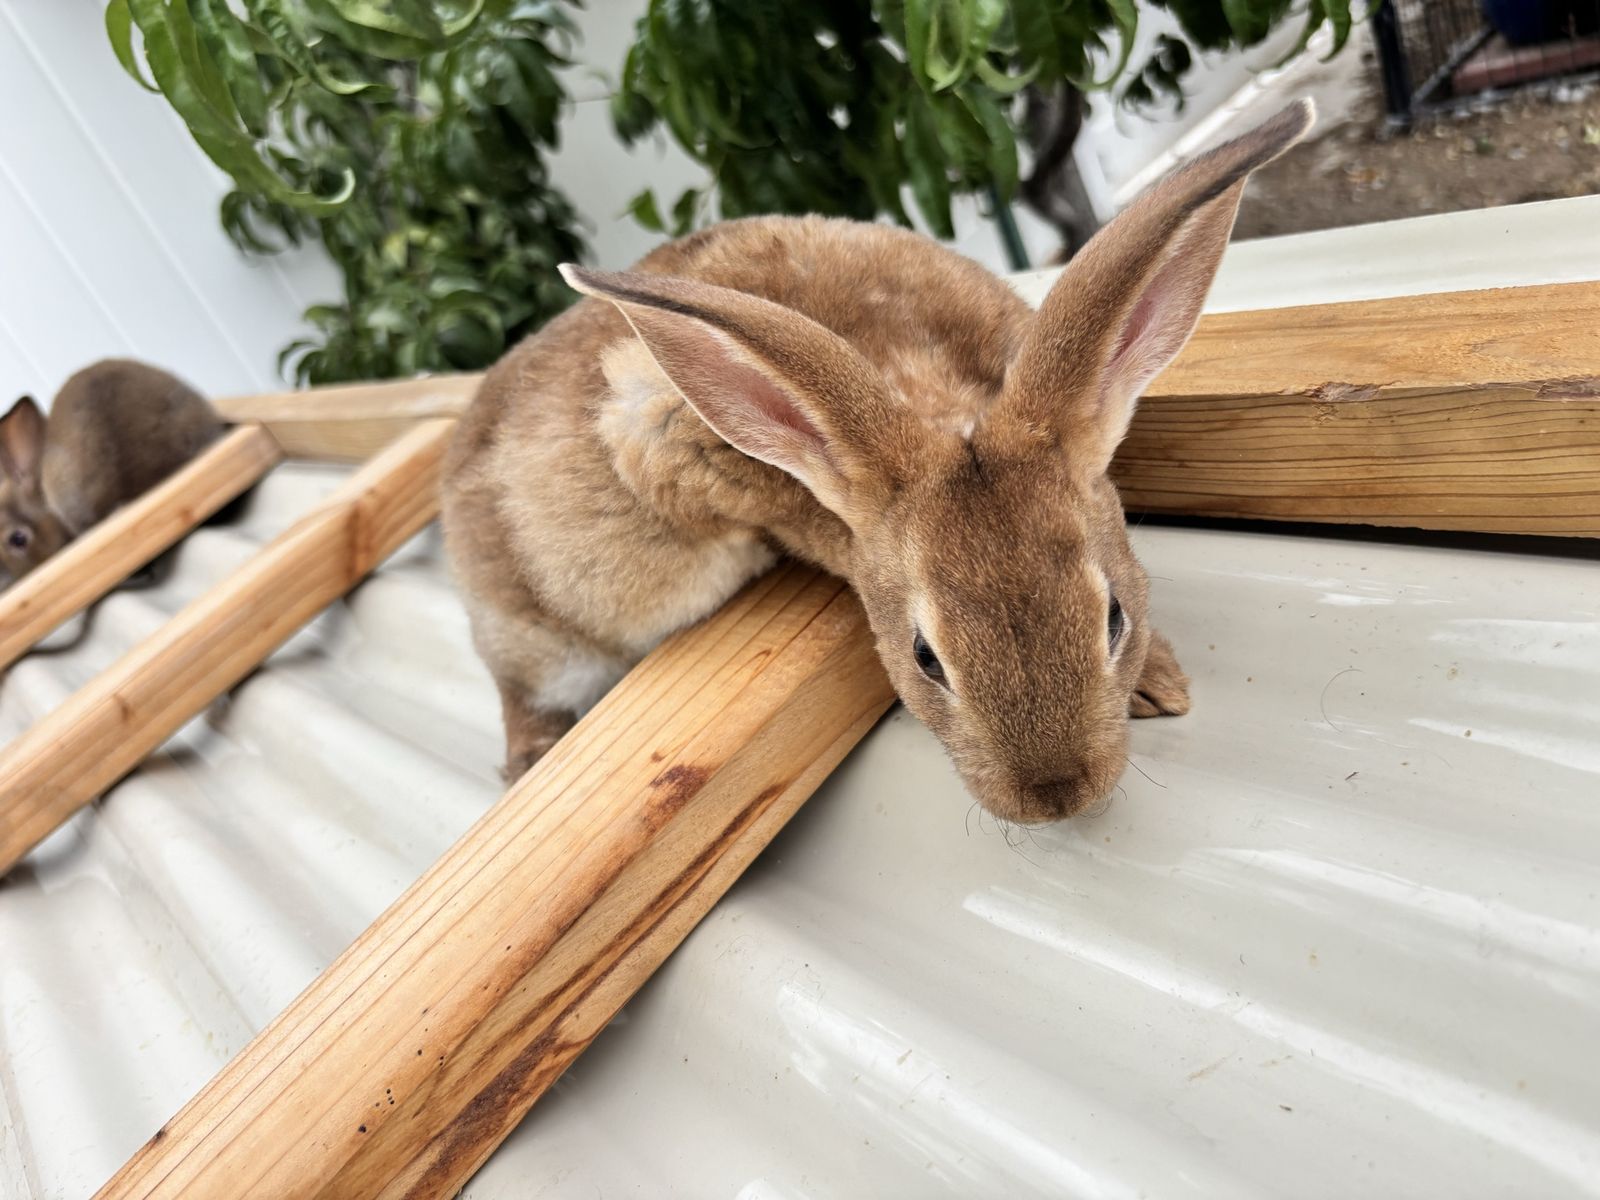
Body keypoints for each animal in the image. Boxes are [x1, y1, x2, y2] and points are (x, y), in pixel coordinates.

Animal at [442, 100, 1314, 823]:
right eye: (926, 660)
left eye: (1115, 618)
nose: (1057, 797)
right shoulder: (660, 432)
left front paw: (1160, 682)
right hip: (536, 637)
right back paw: (530, 759)